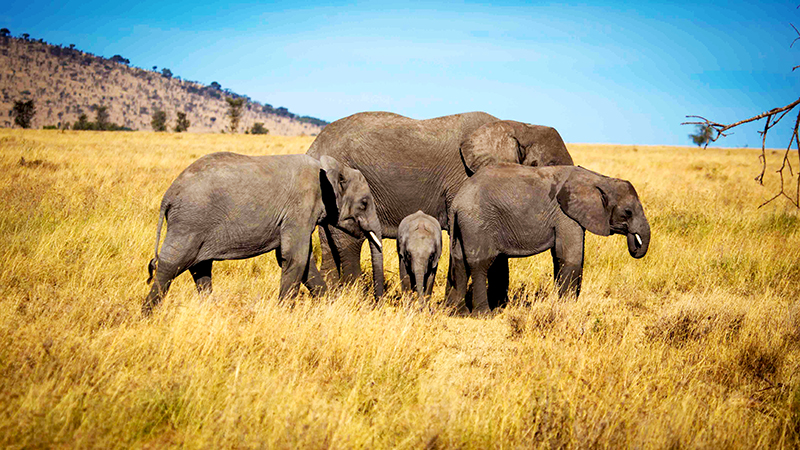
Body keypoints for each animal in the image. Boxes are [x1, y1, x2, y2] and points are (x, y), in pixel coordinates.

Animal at [142, 152, 383, 314]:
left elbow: (302, 261)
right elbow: (294, 257)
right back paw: (147, 315)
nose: (376, 304)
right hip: (190, 221)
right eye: (364, 203)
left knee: (200, 267)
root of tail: (169, 195)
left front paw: (328, 305)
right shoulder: (300, 207)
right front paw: (284, 313)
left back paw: (209, 308)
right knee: (172, 264)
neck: (332, 168)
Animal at [306, 112, 574, 293]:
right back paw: (355, 297)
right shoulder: (465, 180)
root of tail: (314, 146)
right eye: (543, 167)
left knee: (328, 243)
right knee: (349, 241)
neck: (517, 125)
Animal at [446, 164, 650, 315]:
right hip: (477, 221)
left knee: (460, 261)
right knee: (480, 263)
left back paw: (459, 313)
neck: (599, 179)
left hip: (464, 224)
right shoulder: (565, 215)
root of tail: (457, 202)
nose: (635, 244)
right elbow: (570, 257)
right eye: (627, 212)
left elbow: (561, 257)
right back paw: (484, 314)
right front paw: (567, 307)